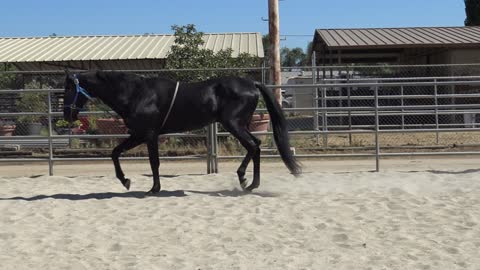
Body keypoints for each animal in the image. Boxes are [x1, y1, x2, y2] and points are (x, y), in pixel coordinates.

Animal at [64, 71, 300, 194]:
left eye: (69, 89)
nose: (67, 114)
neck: (137, 94)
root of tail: (251, 83)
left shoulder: (148, 134)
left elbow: (154, 162)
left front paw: (153, 188)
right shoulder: (139, 134)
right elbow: (115, 153)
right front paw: (126, 181)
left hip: (234, 124)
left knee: (253, 146)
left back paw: (247, 181)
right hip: (239, 125)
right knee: (255, 146)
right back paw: (247, 182)